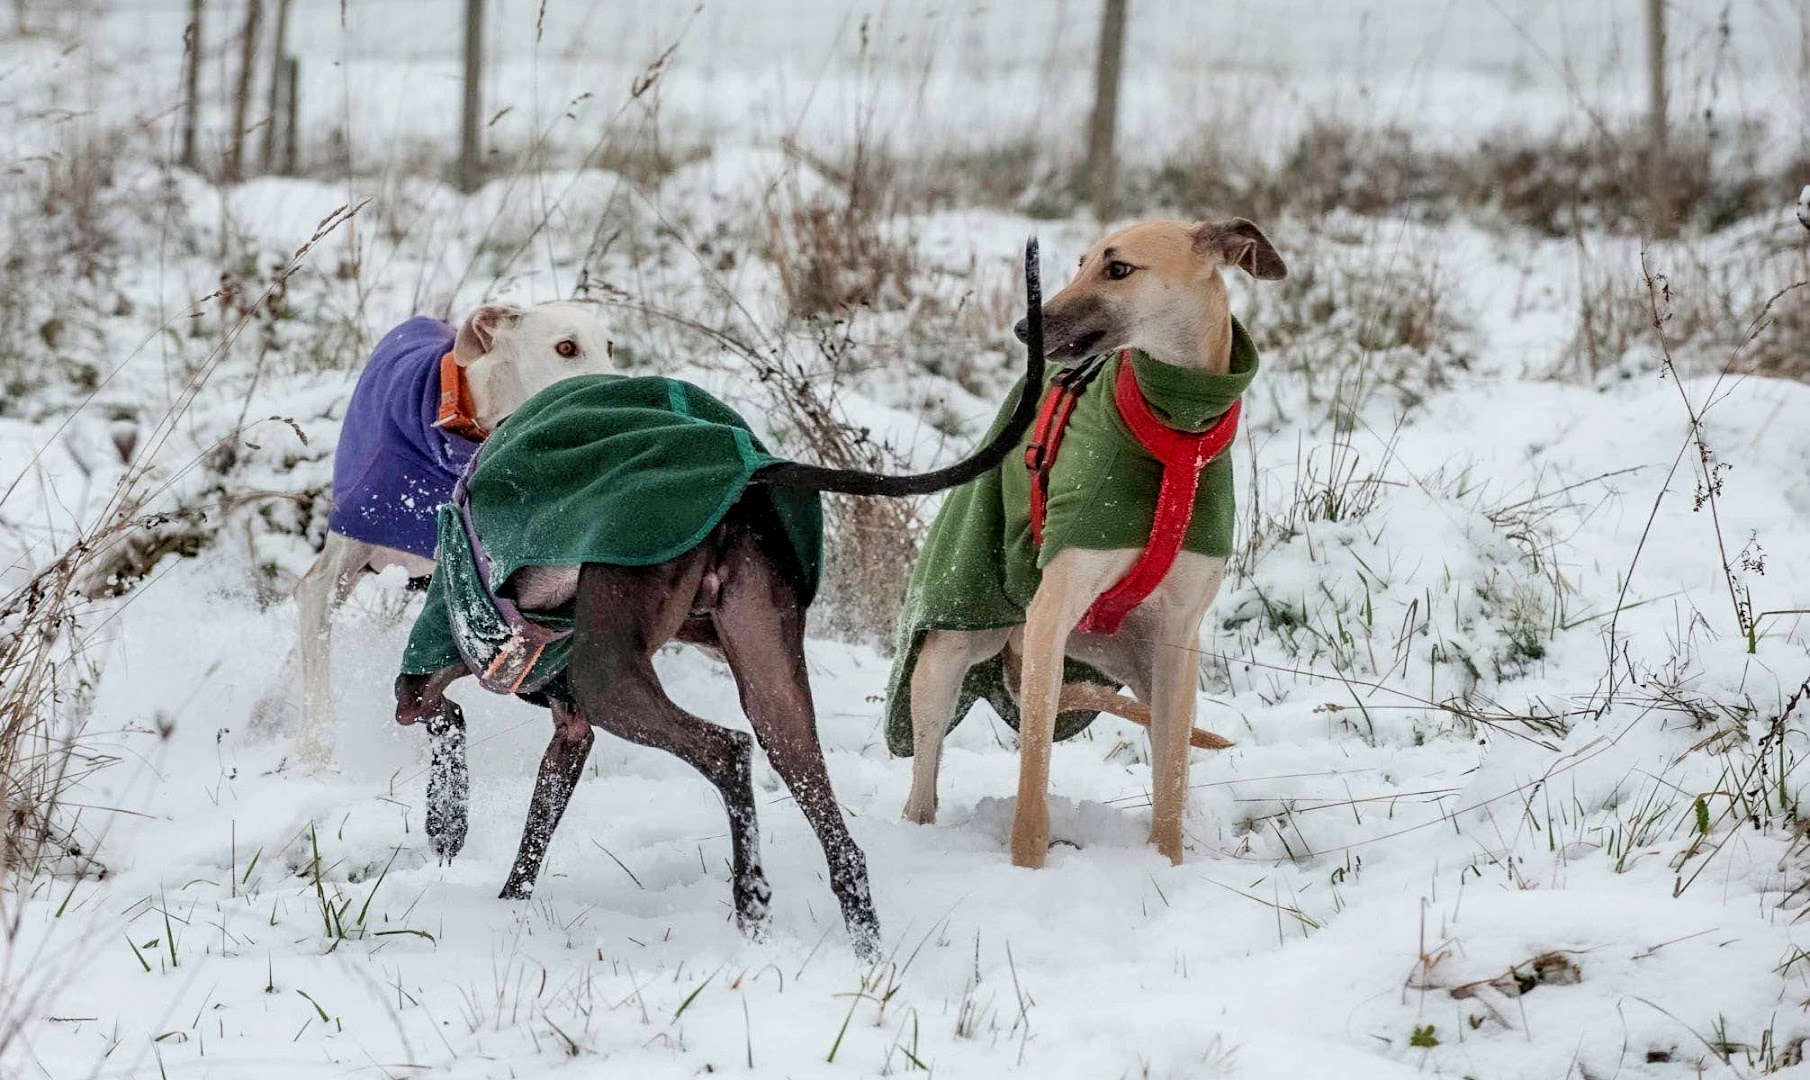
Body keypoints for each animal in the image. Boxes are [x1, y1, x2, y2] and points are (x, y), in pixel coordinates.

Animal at [390, 242, 1057, 955]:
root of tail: (746, 468)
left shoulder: (446, 645)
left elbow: (436, 713)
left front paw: (446, 827)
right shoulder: (571, 726)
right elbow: (533, 827)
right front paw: (508, 905)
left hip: (611, 675)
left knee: (728, 752)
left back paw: (752, 895)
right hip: (772, 687)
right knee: (838, 840)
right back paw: (862, 951)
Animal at [897, 217, 1281, 868]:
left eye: (1118, 268)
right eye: (1080, 264)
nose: (1025, 328)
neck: (1177, 430)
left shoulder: (1178, 641)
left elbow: (1171, 782)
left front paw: (1167, 866)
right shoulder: (1051, 616)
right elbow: (1033, 779)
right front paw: (1028, 867)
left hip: (1141, 668)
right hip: (950, 657)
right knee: (923, 781)